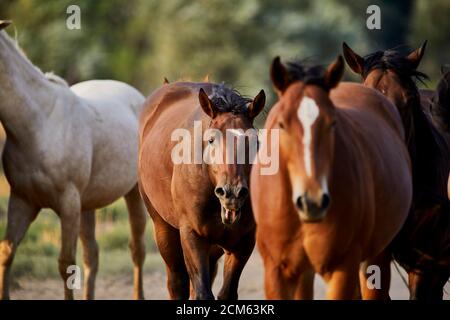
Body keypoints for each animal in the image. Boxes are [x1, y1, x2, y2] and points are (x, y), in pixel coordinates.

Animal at [137, 80, 264, 300]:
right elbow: (202, 293)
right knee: (177, 283)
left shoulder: (244, 241)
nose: (232, 192)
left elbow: (226, 292)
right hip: (163, 228)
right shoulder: (192, 236)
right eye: (211, 140)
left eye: (254, 141)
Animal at [251, 55, 414, 300]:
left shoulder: (342, 268)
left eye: (332, 123)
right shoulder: (276, 271)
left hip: (374, 258)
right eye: (281, 124)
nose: (312, 201)